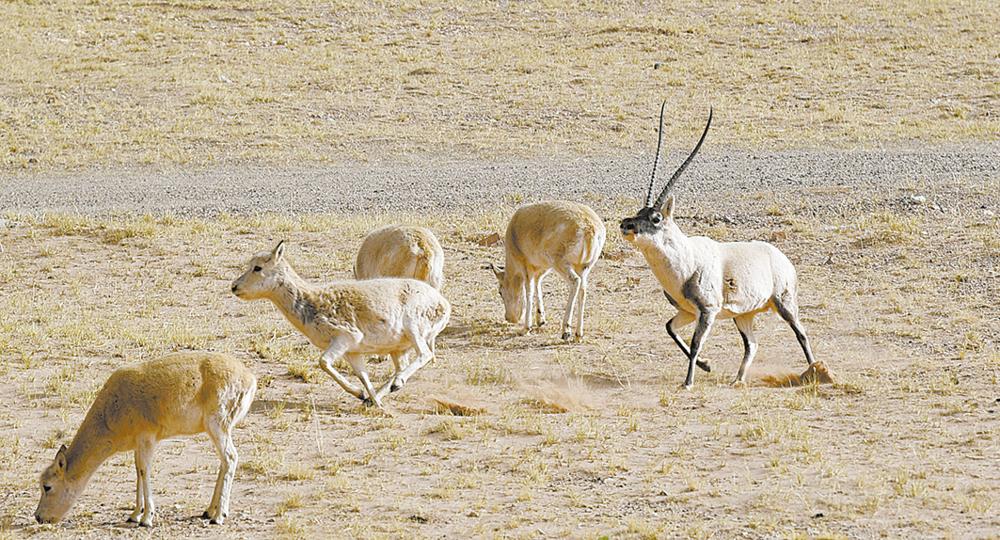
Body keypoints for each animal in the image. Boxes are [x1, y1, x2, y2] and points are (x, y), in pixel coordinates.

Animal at [34, 352, 256, 524]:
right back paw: (209, 510)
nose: (38, 517)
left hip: (217, 426)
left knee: (230, 458)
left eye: (47, 486)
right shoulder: (137, 444)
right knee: (223, 462)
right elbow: (138, 471)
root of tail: (249, 378)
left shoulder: (147, 438)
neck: (112, 409)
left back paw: (219, 516)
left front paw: (147, 518)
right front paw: (134, 515)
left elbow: (144, 470)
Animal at [230, 243, 450, 408]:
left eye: (258, 267)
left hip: (413, 328)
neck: (311, 300)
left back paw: (396, 384)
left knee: (425, 354)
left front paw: (362, 395)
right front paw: (368, 398)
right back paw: (382, 394)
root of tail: (444, 303)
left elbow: (323, 362)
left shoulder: (345, 338)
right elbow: (363, 375)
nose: (234, 287)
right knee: (403, 365)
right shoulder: (352, 351)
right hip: (398, 348)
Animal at [488, 200, 604, 340]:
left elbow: (529, 290)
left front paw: (526, 328)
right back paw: (578, 334)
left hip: (561, 264)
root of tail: (589, 227)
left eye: (500, 291)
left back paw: (566, 331)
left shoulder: (525, 266)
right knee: (583, 289)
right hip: (583, 267)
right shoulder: (541, 268)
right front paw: (541, 320)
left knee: (575, 281)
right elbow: (538, 283)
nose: (509, 318)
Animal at [616, 101, 820, 388]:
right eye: (638, 212)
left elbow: (695, 343)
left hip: (784, 302)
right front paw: (706, 365)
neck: (687, 260)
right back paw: (738, 380)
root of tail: (780, 257)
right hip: (743, 315)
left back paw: (813, 370)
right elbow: (670, 329)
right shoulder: (688, 312)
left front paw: (688, 382)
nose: (627, 225)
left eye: (655, 218)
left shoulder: (707, 312)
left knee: (801, 333)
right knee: (752, 344)